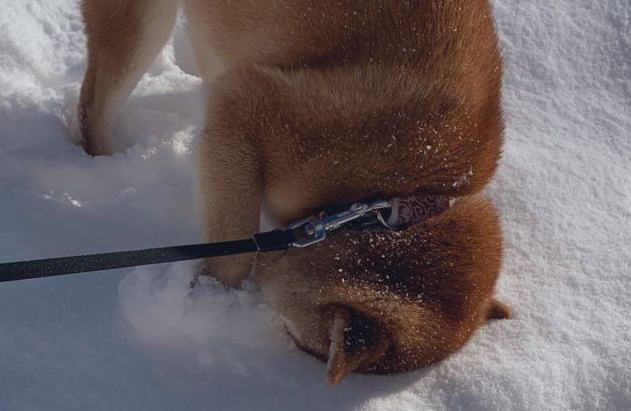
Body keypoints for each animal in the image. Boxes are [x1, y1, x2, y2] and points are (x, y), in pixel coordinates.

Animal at [76, 0, 512, 386]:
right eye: (314, 345)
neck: (394, 199)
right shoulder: (248, 104)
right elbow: (233, 249)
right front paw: (206, 301)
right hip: (143, 25)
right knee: (93, 109)